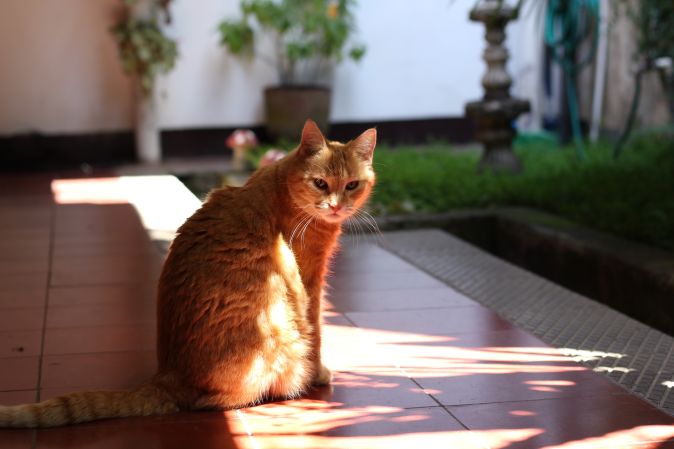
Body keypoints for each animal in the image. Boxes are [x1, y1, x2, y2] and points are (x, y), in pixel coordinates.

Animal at [0, 119, 376, 428]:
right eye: (320, 183)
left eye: (352, 185)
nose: (337, 206)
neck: (282, 185)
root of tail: (166, 375)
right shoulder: (309, 281)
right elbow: (317, 332)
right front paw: (319, 374)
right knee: (210, 402)